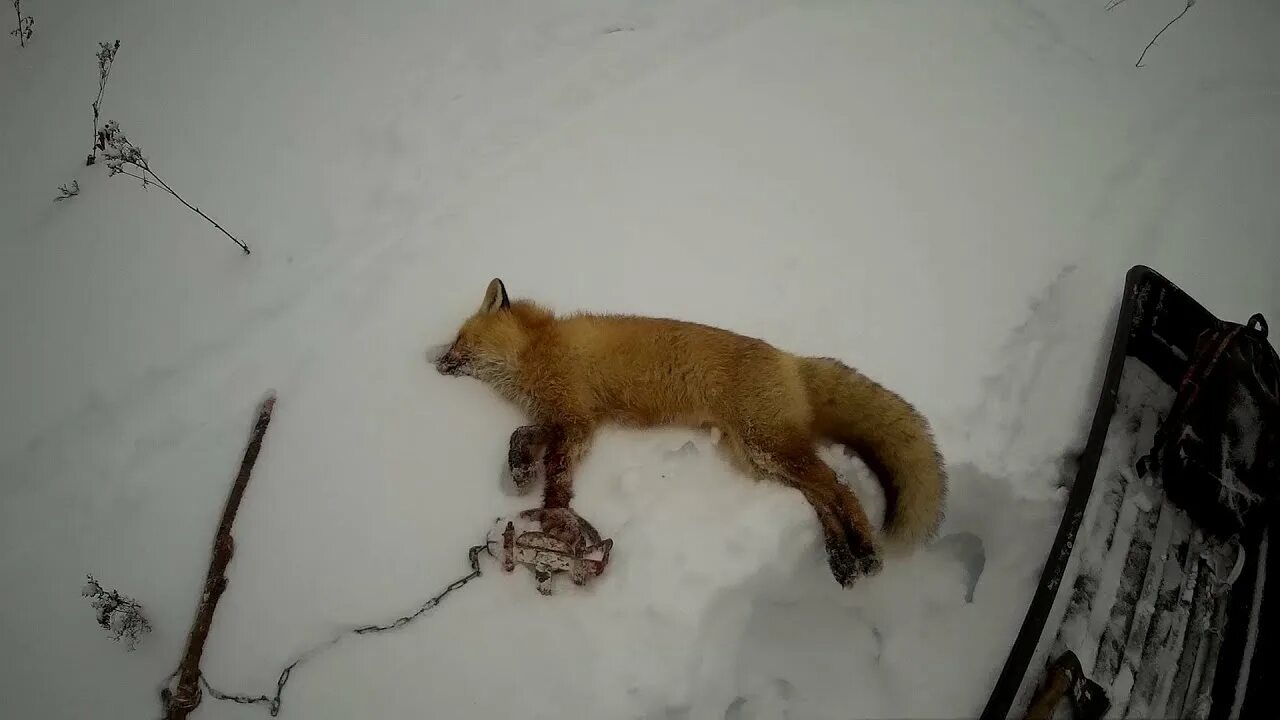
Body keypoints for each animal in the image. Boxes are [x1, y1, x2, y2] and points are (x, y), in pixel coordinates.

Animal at [435, 278, 947, 586]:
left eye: (461, 340)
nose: (436, 361)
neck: (540, 350)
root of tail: (790, 360)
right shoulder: (572, 420)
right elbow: (526, 437)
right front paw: (522, 473)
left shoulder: (576, 421)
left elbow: (552, 471)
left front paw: (552, 519)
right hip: (758, 457)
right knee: (819, 495)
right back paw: (842, 557)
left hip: (769, 447)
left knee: (838, 487)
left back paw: (864, 550)